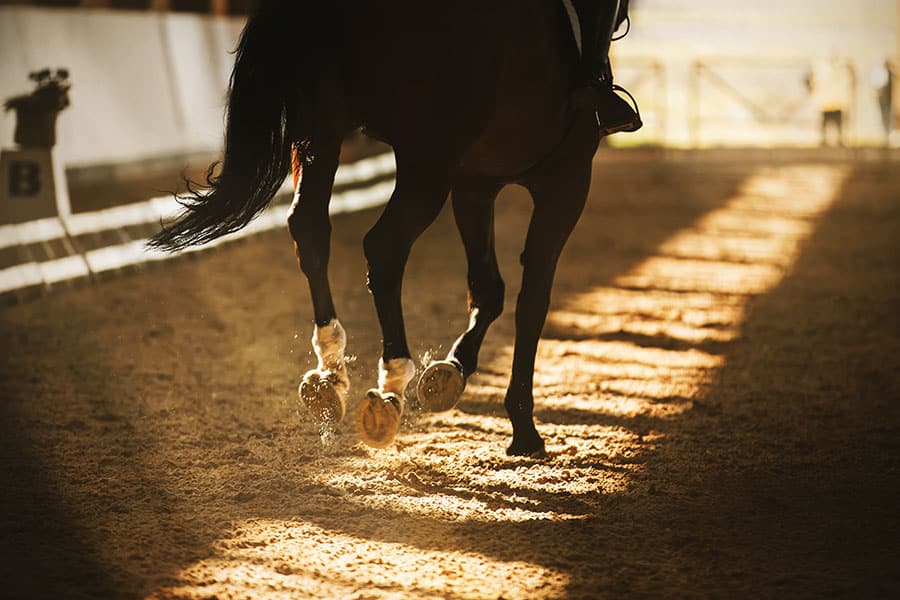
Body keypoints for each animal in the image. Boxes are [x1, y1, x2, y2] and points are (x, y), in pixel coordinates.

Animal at [149, 0, 606, 457]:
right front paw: (523, 428)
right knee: (384, 246)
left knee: (309, 229)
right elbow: (533, 302)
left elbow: (488, 289)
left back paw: (330, 378)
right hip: (426, 159)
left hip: (322, 130)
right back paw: (391, 387)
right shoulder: (566, 180)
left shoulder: (475, 182)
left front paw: (451, 374)